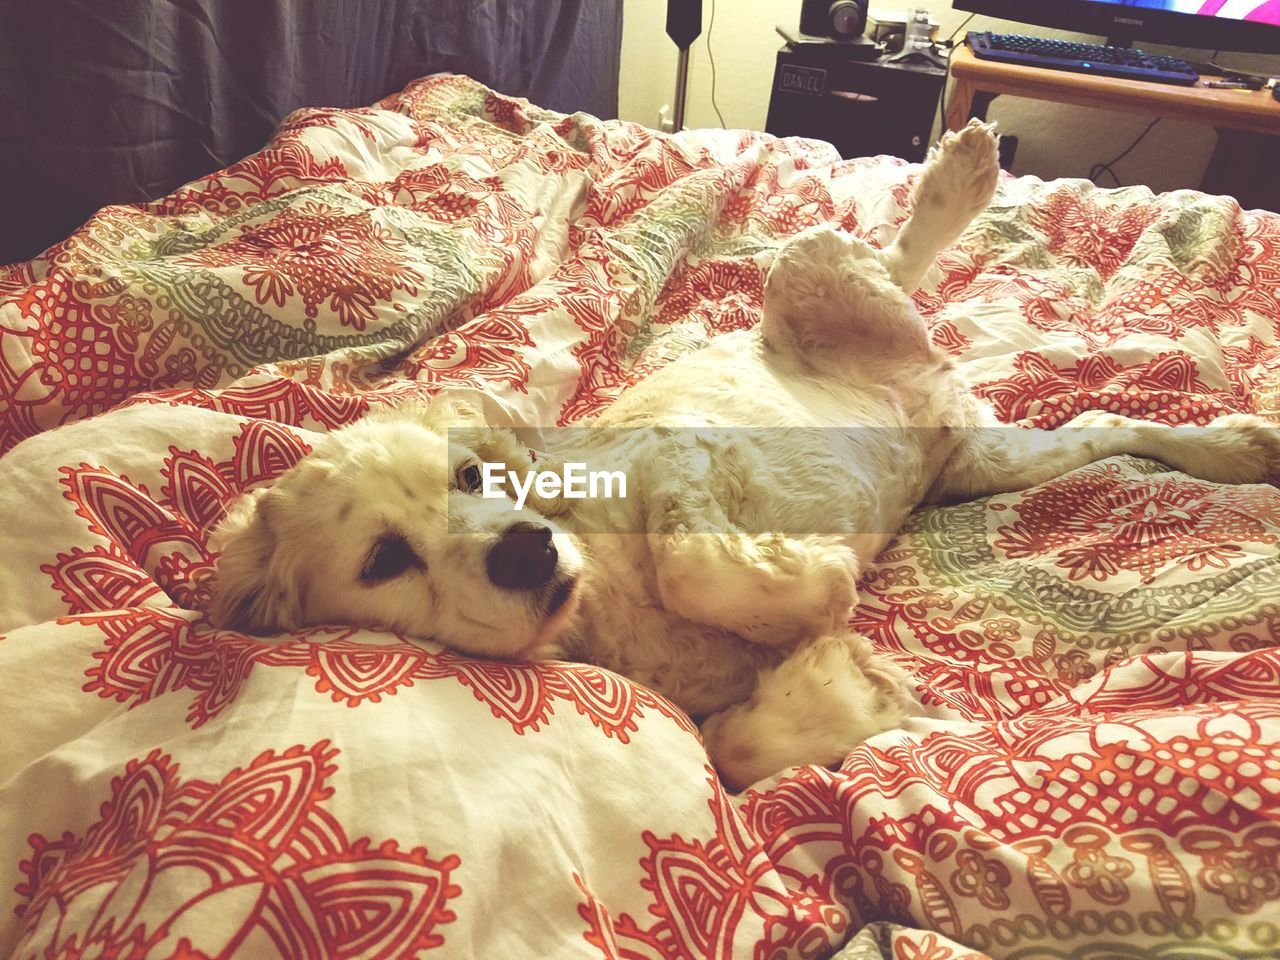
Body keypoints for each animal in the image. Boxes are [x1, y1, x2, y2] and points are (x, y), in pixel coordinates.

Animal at [209, 122, 1280, 788]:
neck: (604, 603)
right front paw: (849, 689)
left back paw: (962, 171)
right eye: (383, 560)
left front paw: (819, 585)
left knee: (893, 256)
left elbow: (697, 566)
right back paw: (1241, 443)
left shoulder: (680, 454)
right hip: (993, 459)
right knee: (1123, 429)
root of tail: (934, 391)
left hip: (803, 271)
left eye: (471, 475)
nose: (522, 550)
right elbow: (735, 747)